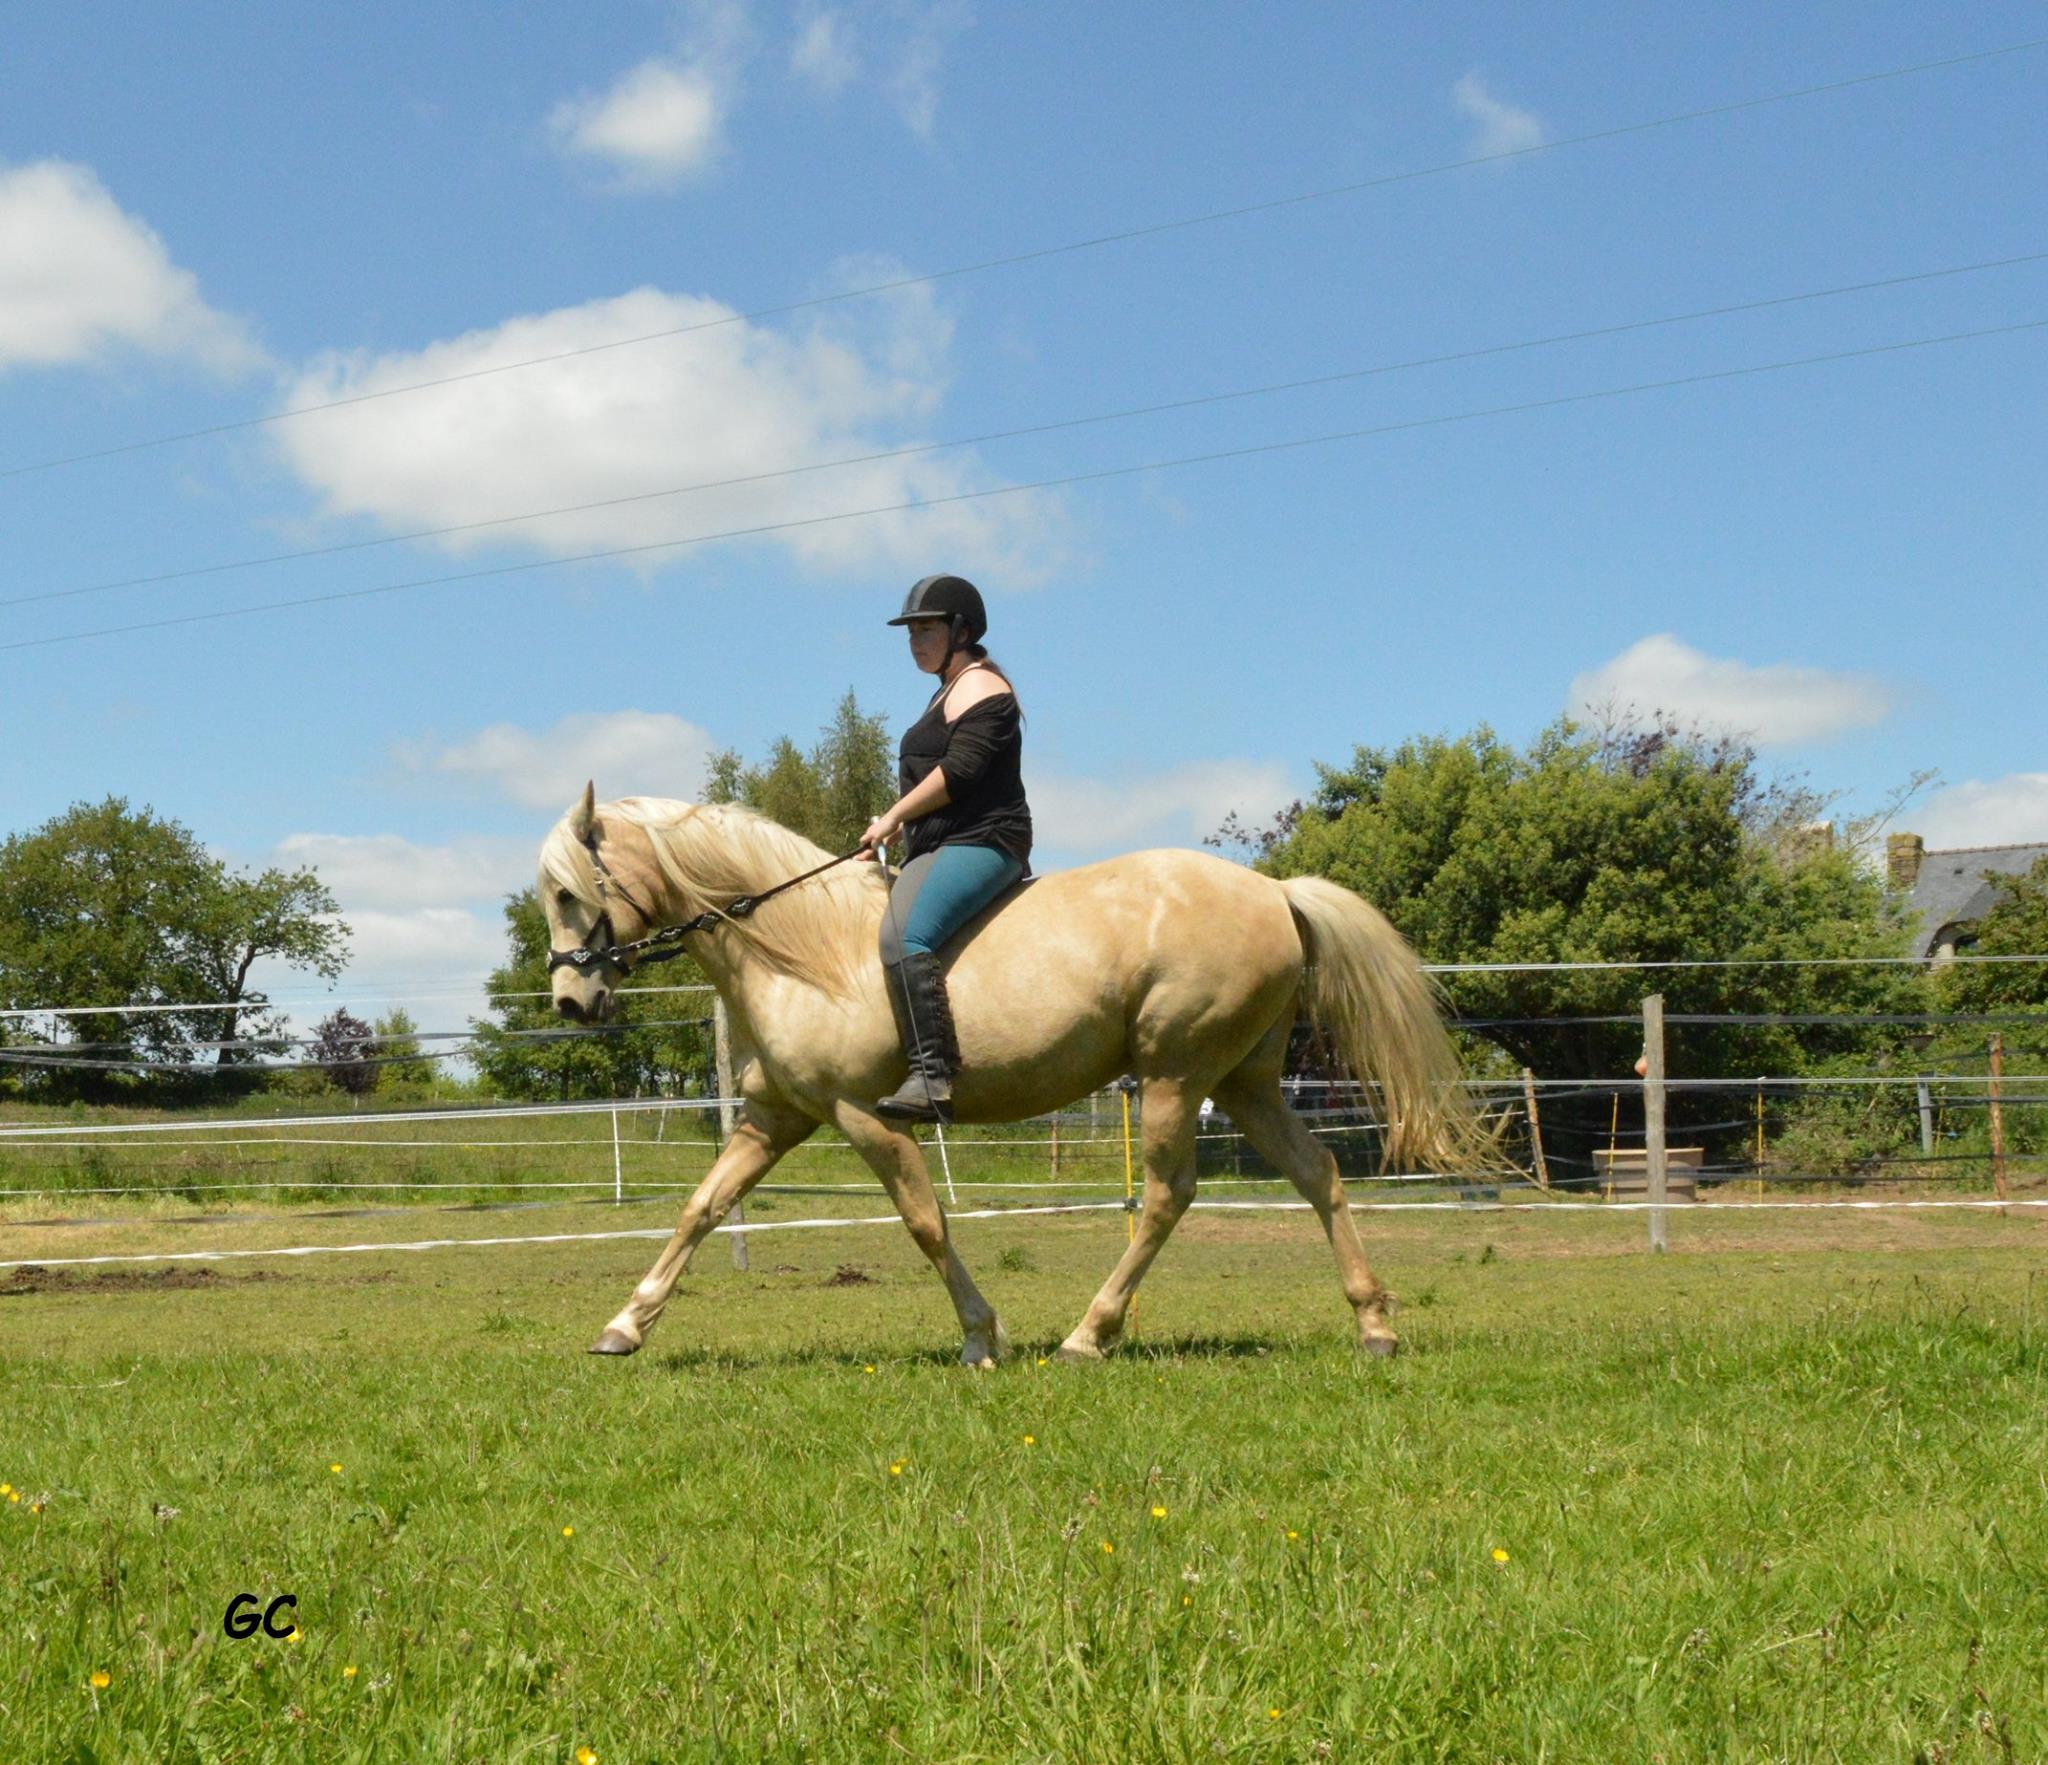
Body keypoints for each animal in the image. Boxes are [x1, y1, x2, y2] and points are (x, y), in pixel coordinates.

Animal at [536, 790, 1482, 1367]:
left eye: (570, 893)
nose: (572, 999)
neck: (803, 950)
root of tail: (1276, 891)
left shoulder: (865, 1116)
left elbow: (924, 1221)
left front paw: (980, 1337)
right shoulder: (776, 1117)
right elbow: (700, 1207)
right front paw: (624, 1325)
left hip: (1177, 1075)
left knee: (1168, 1195)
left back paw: (1088, 1335)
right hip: (1243, 1082)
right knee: (1318, 1172)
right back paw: (1373, 1323)